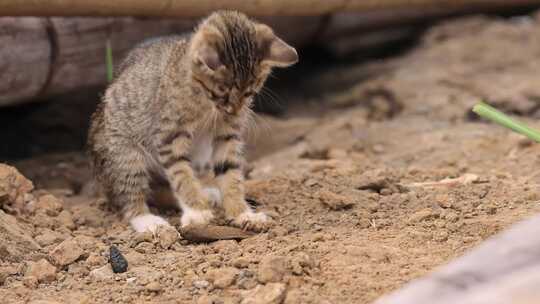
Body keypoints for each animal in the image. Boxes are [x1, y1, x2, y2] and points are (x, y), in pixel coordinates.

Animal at [89, 10, 300, 233]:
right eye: (222, 94)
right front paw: (196, 211)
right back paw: (147, 220)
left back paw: (207, 194)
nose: (233, 111)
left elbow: (230, 170)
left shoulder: (227, 133)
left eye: (248, 94)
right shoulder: (169, 134)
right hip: (123, 152)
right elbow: (181, 174)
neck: (205, 103)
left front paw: (241, 212)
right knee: (130, 194)